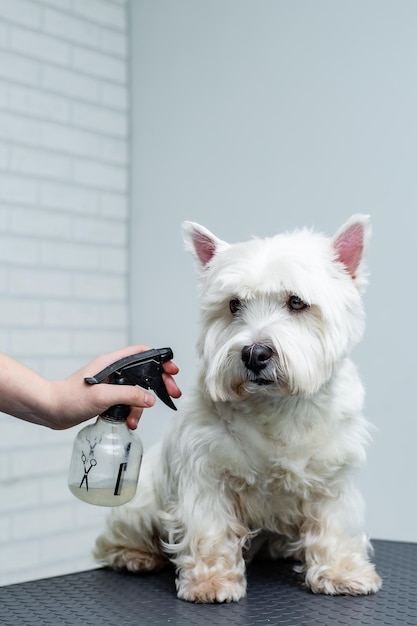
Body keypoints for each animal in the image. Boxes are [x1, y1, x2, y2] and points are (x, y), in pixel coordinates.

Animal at [94, 214, 380, 600]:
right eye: (234, 305)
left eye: (296, 302)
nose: (254, 354)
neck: (276, 406)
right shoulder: (205, 472)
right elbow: (210, 530)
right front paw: (210, 581)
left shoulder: (334, 475)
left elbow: (333, 524)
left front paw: (342, 572)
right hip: (139, 503)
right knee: (114, 538)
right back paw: (134, 556)